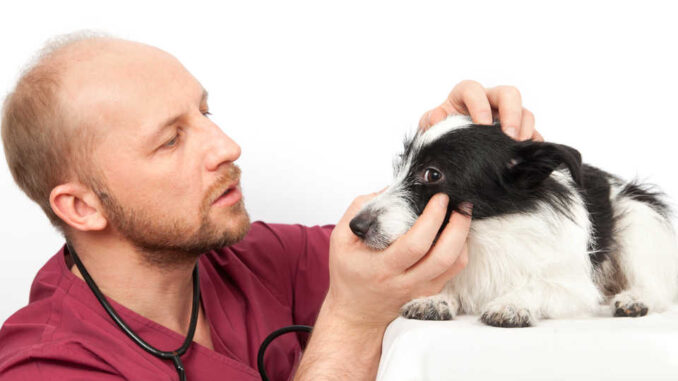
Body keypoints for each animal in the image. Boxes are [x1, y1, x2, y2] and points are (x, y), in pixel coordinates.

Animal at [350, 115, 678, 326]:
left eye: (432, 174)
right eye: (400, 166)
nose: (356, 226)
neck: (483, 233)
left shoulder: (575, 288)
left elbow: (539, 285)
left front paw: (513, 303)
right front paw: (436, 298)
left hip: (637, 217)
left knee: (657, 288)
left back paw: (635, 299)